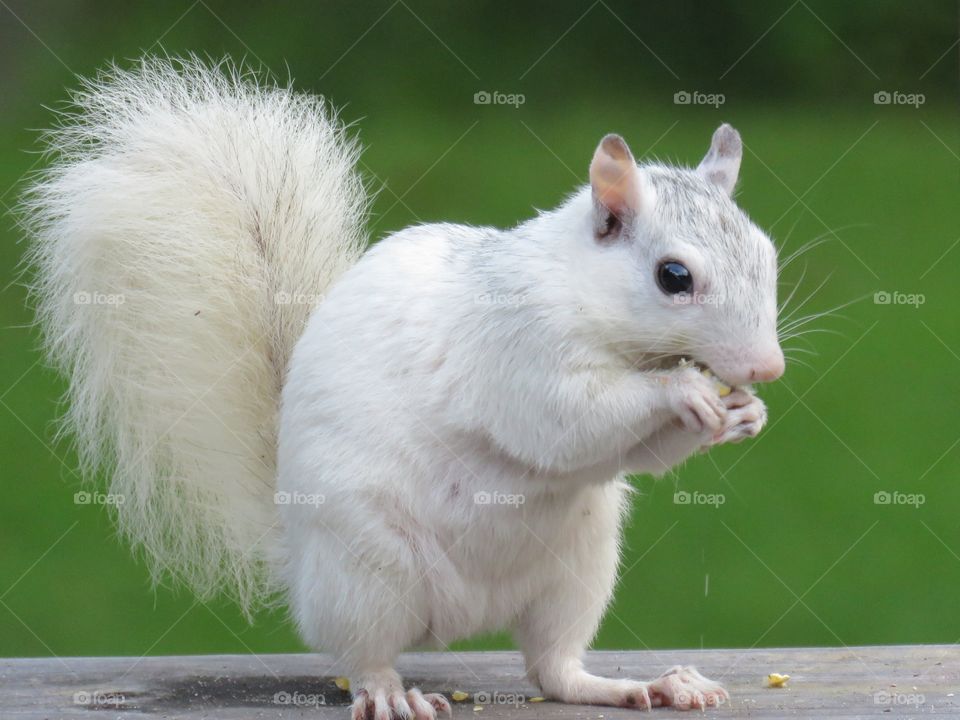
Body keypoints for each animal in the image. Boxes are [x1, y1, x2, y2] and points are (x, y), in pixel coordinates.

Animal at [22, 57, 784, 717]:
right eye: (673, 277)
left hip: (579, 568)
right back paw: (391, 692)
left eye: (767, 253)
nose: (767, 368)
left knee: (555, 669)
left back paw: (641, 685)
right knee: (369, 654)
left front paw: (746, 414)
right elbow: (564, 422)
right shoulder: (517, 351)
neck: (591, 304)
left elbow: (636, 455)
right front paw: (683, 393)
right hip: (369, 571)